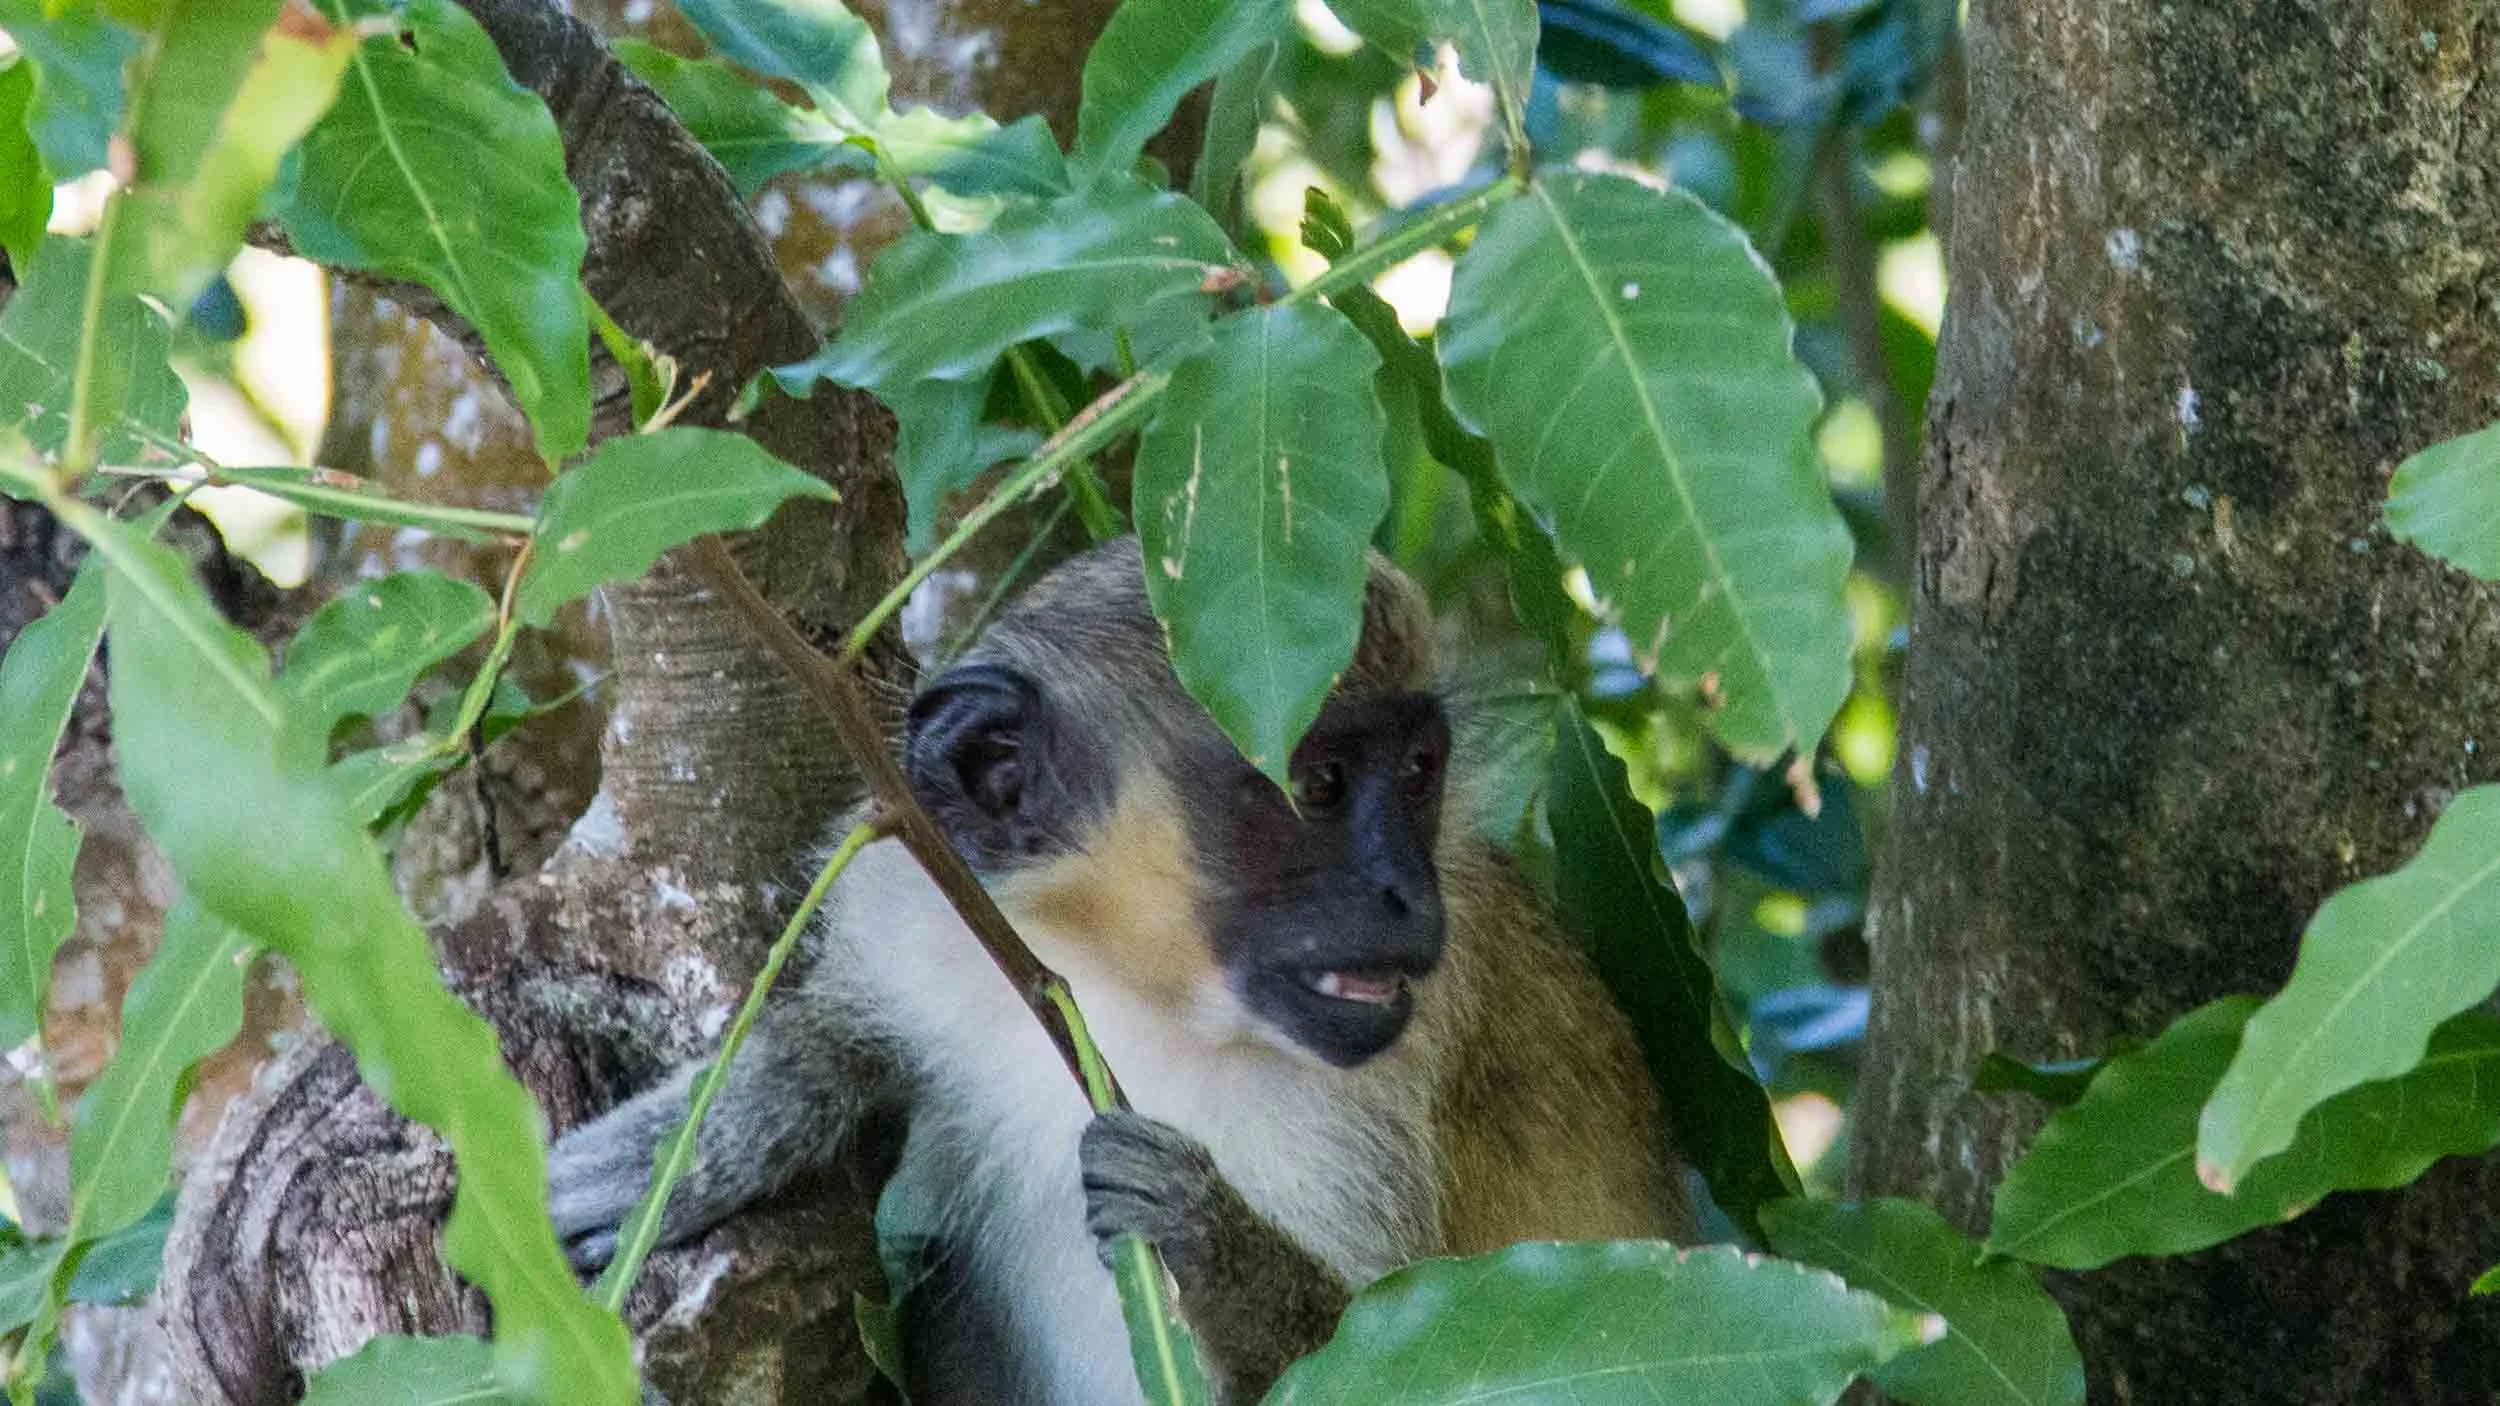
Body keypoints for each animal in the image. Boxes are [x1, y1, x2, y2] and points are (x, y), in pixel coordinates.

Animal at [547, 538, 1691, 1403]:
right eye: (1320, 784)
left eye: (1417, 774)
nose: (1410, 893)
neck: (1130, 988)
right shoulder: (923, 908)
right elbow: (848, 1028)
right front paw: (724, 1125)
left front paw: (1213, 1241)